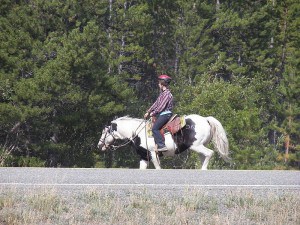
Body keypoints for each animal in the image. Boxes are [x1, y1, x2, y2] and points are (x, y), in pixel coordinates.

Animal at [97, 114, 229, 171]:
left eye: (104, 132)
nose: (99, 145)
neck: (137, 132)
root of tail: (206, 119)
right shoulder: (144, 156)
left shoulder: (153, 153)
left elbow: (158, 167)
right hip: (200, 147)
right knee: (204, 156)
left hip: (196, 146)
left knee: (210, 153)